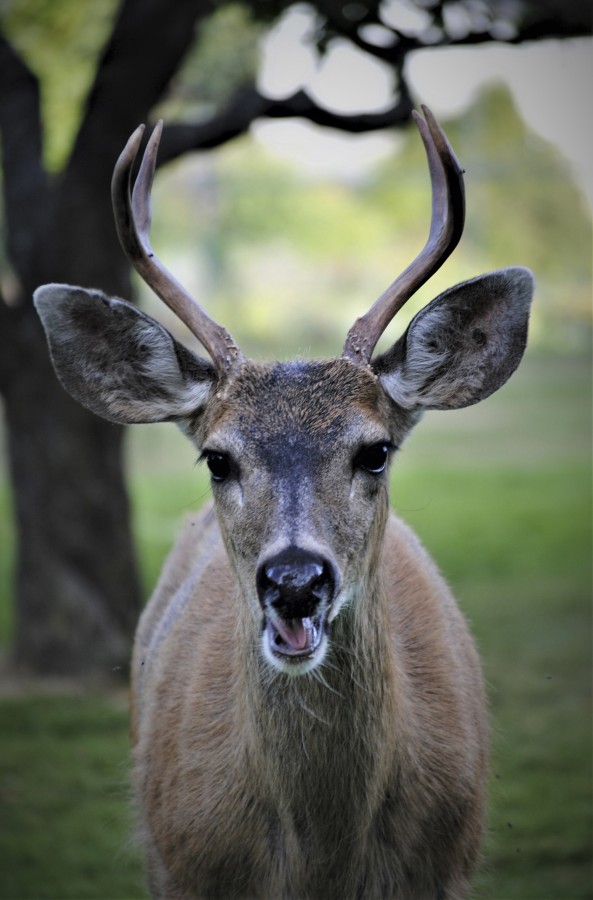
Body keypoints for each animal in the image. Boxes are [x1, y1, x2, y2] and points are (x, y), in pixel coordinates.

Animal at [34, 107, 536, 900]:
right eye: (217, 457)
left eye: (375, 451)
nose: (295, 582)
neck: (321, 865)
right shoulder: (181, 869)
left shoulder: (446, 869)